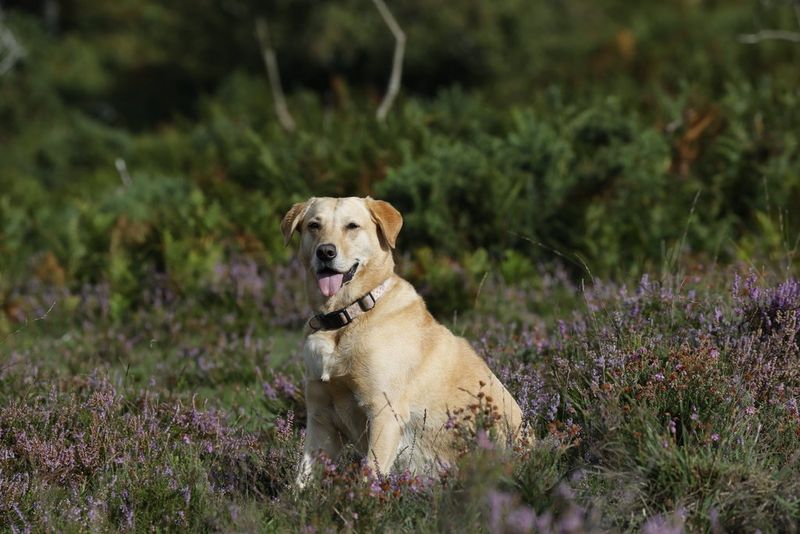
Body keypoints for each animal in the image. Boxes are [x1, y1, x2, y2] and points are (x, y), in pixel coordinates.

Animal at [282, 196, 524, 486]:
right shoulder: (320, 419)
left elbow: (368, 476)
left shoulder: (384, 413)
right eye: (314, 226)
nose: (325, 252)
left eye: (352, 226)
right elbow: (302, 478)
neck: (346, 317)